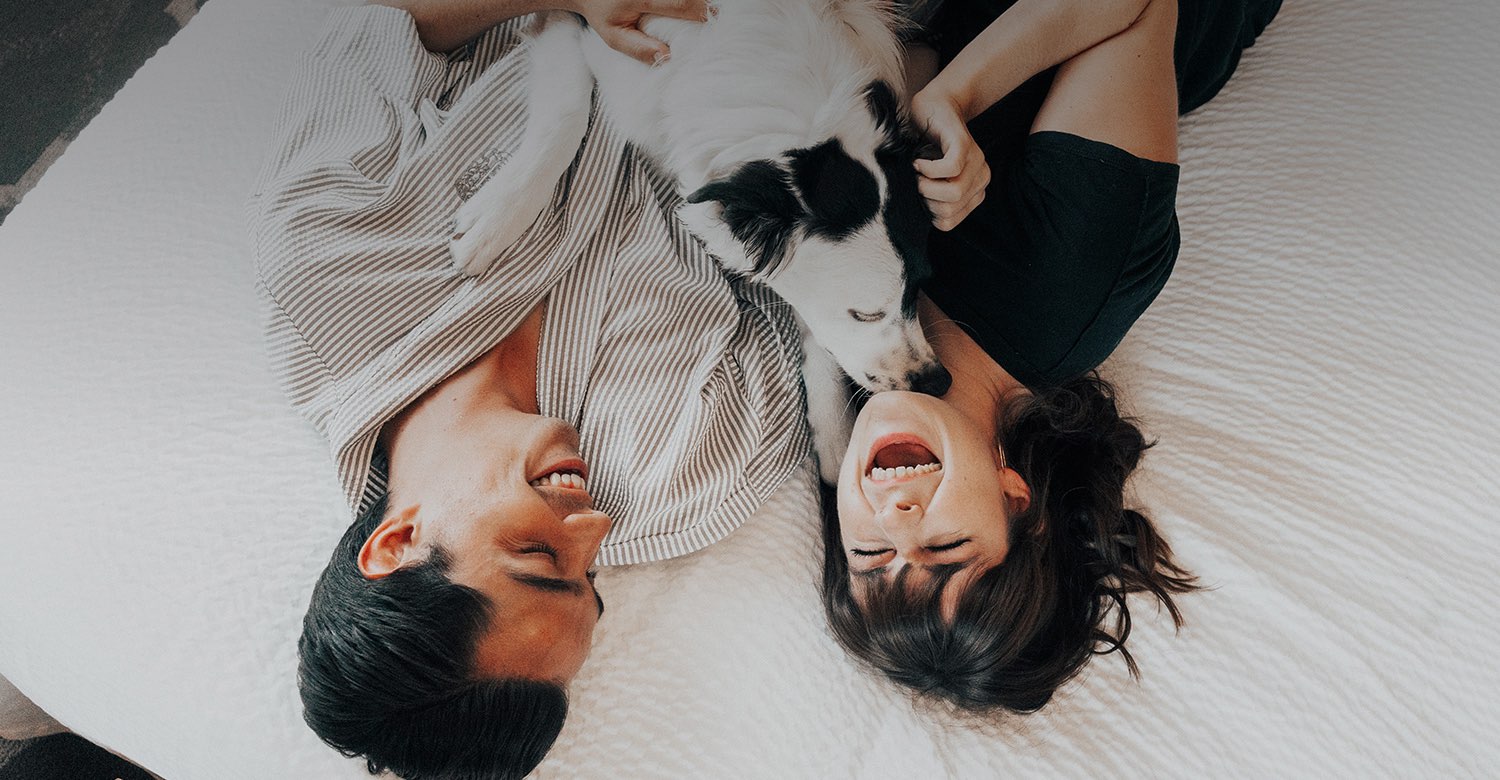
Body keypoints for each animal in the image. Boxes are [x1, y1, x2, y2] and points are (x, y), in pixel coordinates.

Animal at [450, 3, 954, 480]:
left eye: (919, 288)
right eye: (864, 313)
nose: (937, 383)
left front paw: (833, 429)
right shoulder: (579, 19)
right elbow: (566, 115)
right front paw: (496, 219)